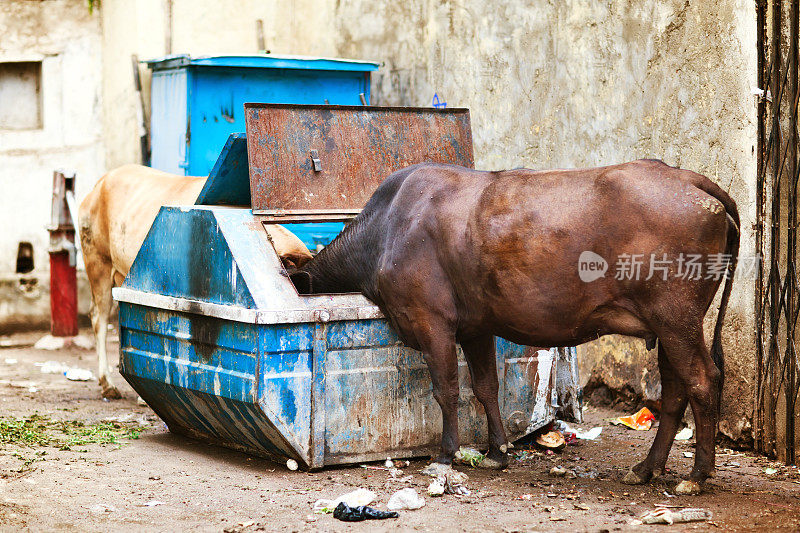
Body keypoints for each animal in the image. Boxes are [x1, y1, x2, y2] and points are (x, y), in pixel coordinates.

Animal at [292, 159, 736, 494]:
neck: (385, 231)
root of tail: (685, 177)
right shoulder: (476, 326)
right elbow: (486, 387)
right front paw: (497, 452)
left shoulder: (431, 319)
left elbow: (447, 390)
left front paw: (445, 455)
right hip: (670, 325)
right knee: (675, 389)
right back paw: (646, 469)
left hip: (676, 317)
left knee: (702, 380)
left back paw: (697, 476)